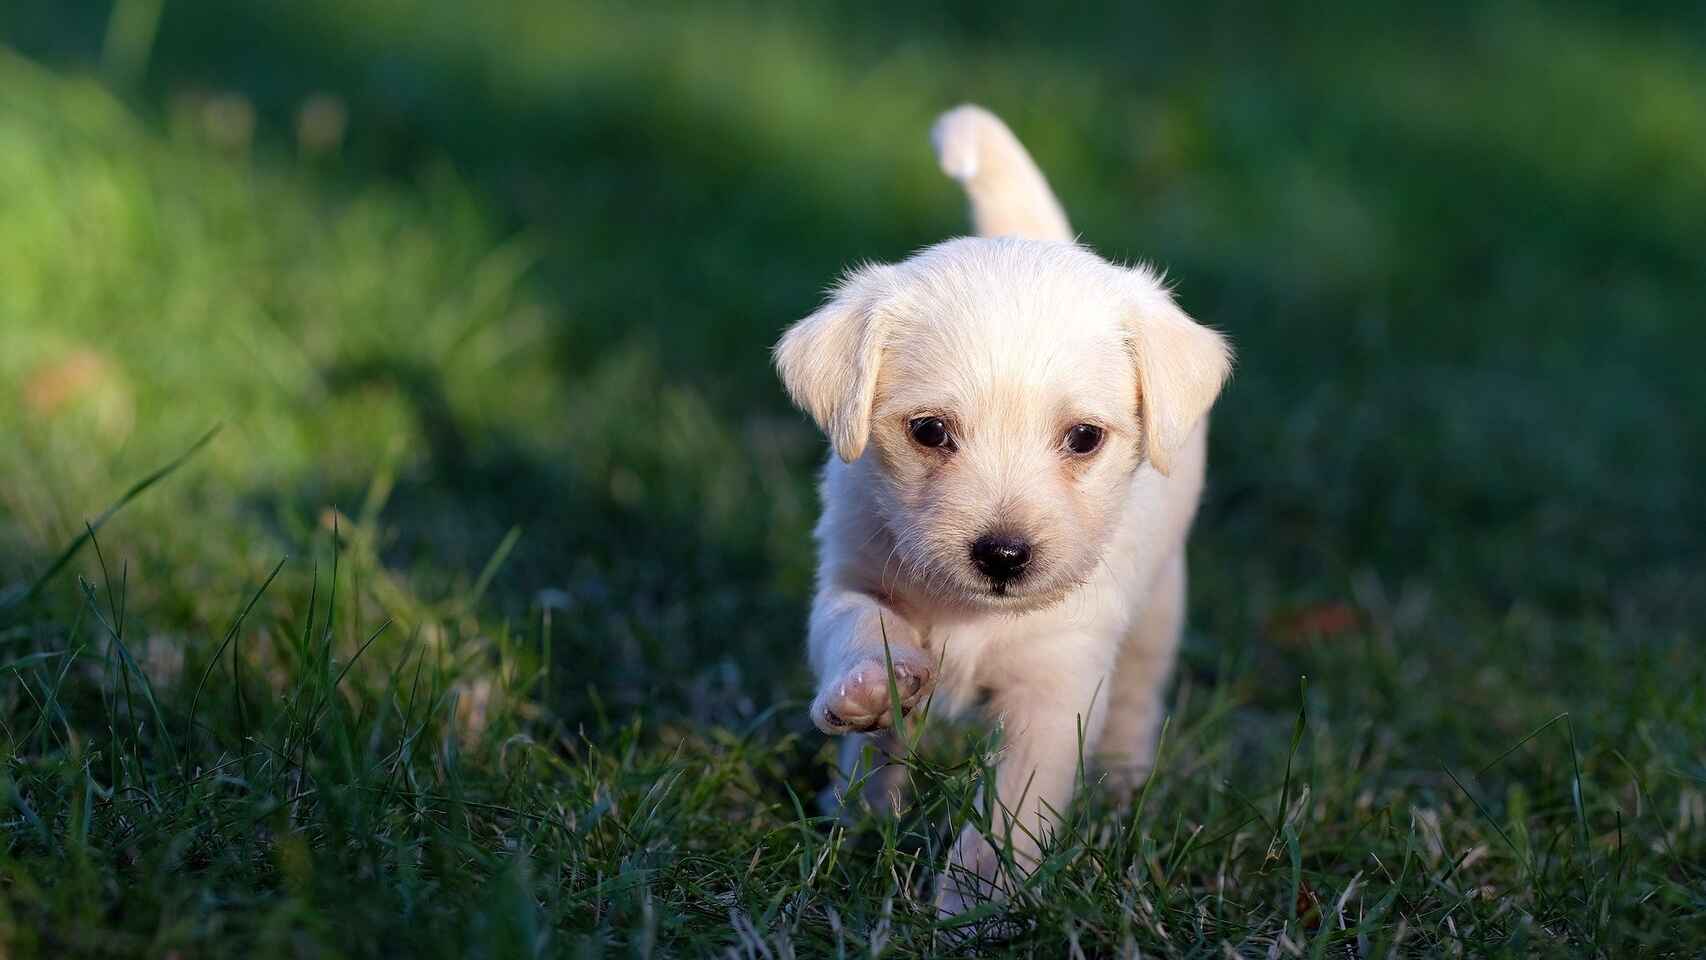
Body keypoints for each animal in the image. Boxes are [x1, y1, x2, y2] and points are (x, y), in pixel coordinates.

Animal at [774, 106, 1228, 913]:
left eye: (1084, 438)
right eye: (929, 431)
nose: (1004, 556)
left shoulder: (1056, 688)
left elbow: (1011, 811)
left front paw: (975, 906)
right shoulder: (850, 574)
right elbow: (858, 627)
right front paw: (869, 688)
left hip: (1160, 609)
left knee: (1139, 694)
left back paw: (1121, 784)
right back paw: (856, 809)